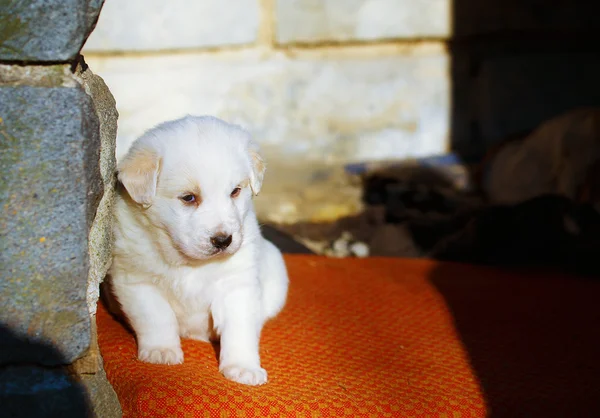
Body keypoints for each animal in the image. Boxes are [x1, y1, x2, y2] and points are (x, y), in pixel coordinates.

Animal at [107, 114, 288, 386]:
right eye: (189, 198)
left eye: (235, 191)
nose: (223, 240)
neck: (189, 263)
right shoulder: (137, 282)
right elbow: (156, 317)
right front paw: (162, 351)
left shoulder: (237, 284)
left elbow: (240, 328)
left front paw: (243, 367)